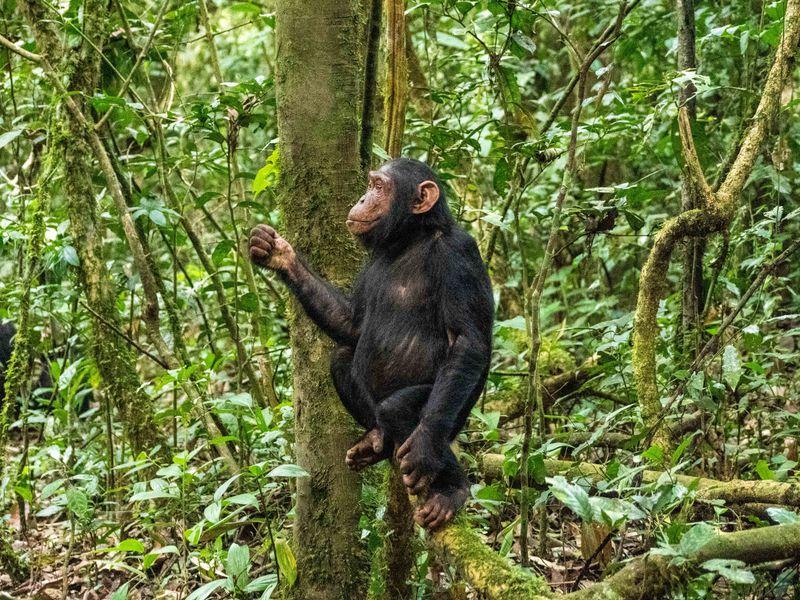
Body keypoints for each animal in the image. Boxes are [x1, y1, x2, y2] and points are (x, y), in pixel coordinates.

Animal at [248, 159, 494, 528]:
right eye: (370, 185)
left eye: (379, 187)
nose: (363, 199)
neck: (410, 239)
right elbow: (352, 324)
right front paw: (279, 253)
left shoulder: (459, 253)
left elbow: (467, 340)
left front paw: (424, 450)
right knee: (341, 357)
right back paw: (376, 439)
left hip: (457, 413)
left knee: (398, 409)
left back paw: (449, 489)